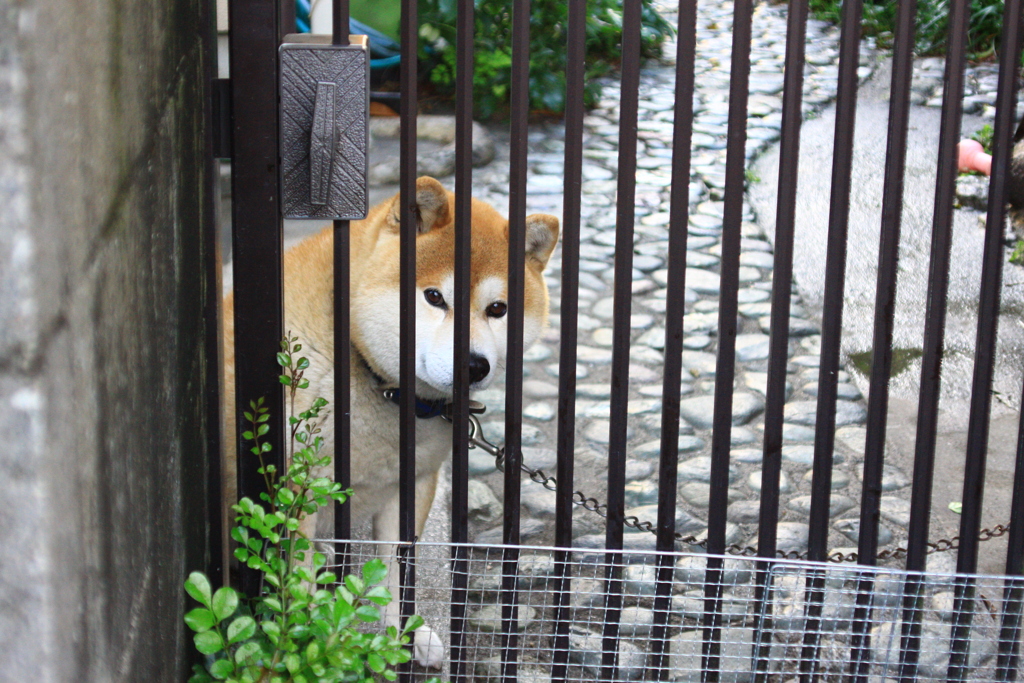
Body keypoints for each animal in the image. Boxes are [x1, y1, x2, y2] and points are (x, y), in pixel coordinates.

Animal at [225, 175, 561, 667]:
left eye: (498, 309)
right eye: (435, 297)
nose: (474, 365)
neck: (378, 385)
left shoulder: (412, 483)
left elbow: (395, 571)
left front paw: (404, 634)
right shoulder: (294, 490)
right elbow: (297, 579)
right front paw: (301, 646)